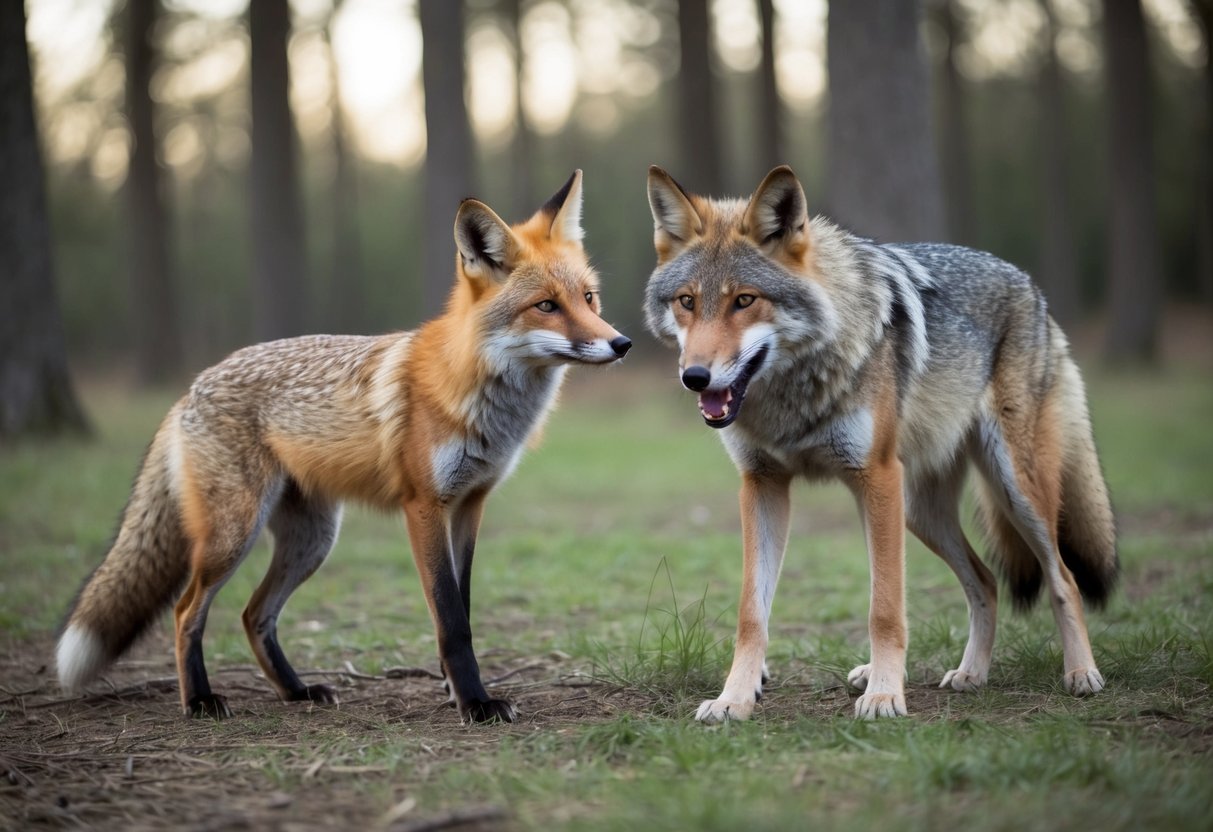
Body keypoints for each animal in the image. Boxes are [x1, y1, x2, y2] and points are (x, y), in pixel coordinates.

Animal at [56, 170, 631, 724]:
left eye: (588, 298)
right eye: (546, 306)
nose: (621, 343)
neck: (477, 393)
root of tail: (191, 388)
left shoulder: (471, 503)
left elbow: (463, 608)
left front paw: (456, 692)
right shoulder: (424, 506)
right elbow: (451, 620)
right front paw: (475, 704)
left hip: (312, 540)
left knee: (253, 613)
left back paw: (296, 691)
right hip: (233, 536)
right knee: (185, 611)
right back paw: (199, 700)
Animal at [643, 164, 1117, 722]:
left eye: (744, 300)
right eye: (687, 302)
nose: (694, 376)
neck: (793, 393)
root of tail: (1030, 286)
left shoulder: (878, 477)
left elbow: (885, 609)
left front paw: (887, 695)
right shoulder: (762, 485)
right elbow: (751, 615)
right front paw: (733, 699)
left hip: (1007, 490)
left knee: (1063, 576)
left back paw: (1081, 673)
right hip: (917, 512)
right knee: (986, 580)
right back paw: (969, 673)